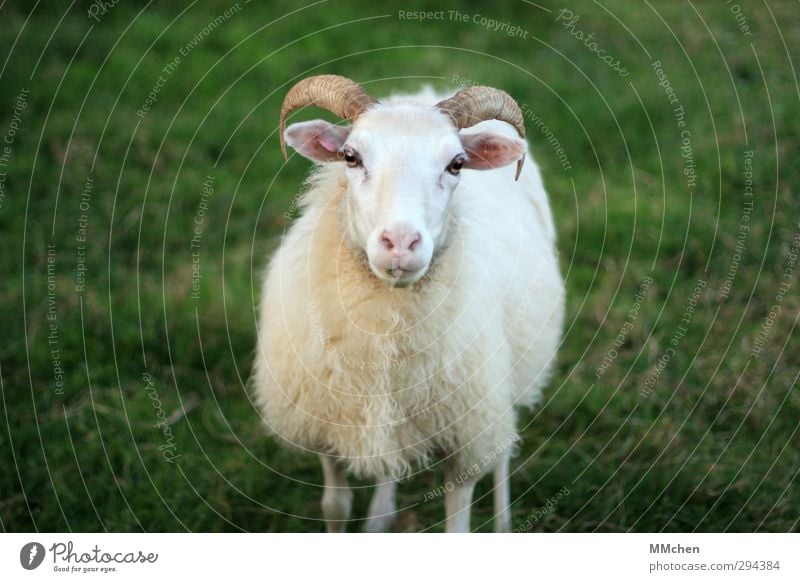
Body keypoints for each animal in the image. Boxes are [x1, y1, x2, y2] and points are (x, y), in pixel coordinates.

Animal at [253, 74, 564, 532]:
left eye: (456, 164)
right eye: (350, 157)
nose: (400, 242)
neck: (387, 330)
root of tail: (424, 91)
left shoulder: (464, 437)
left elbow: (458, 524)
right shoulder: (326, 423)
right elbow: (335, 507)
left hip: (506, 378)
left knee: (503, 453)